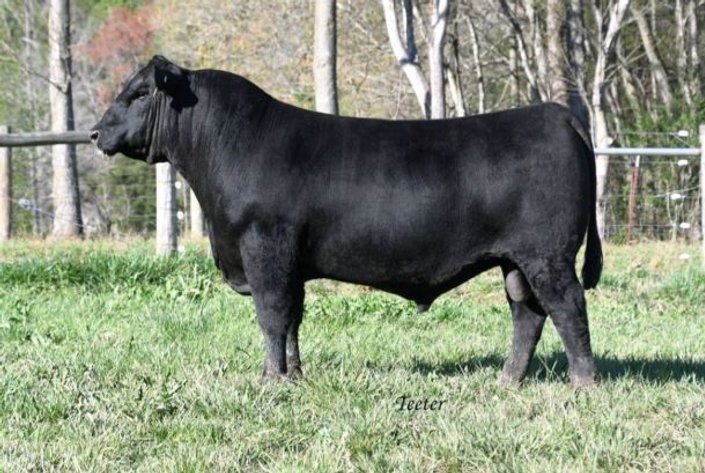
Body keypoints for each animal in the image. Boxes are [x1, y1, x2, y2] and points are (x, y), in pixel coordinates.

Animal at [91, 56, 602, 388]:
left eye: (139, 93)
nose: (95, 132)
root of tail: (555, 113)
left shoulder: (265, 249)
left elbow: (271, 317)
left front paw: (270, 382)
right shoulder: (290, 264)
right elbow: (292, 319)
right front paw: (293, 376)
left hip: (547, 255)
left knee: (568, 308)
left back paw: (583, 384)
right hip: (516, 261)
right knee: (528, 313)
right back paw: (507, 380)